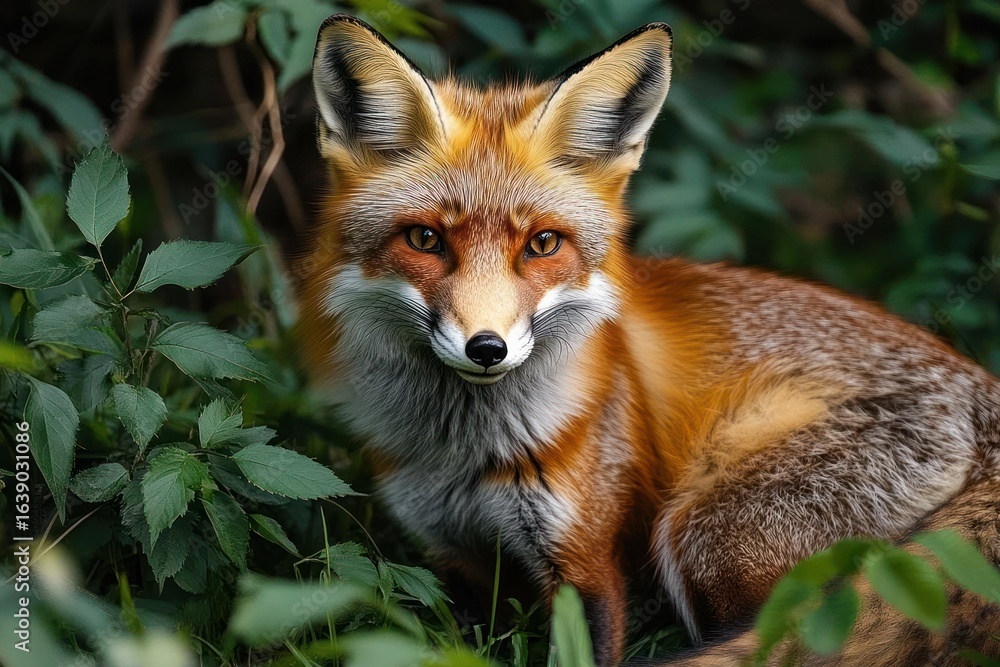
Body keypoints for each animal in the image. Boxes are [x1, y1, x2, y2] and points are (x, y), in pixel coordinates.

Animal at [297, 14, 1000, 666]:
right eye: (425, 240)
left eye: (542, 244)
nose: (487, 348)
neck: (466, 455)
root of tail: (980, 388)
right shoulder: (453, 565)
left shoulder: (586, 565)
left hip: (712, 539)